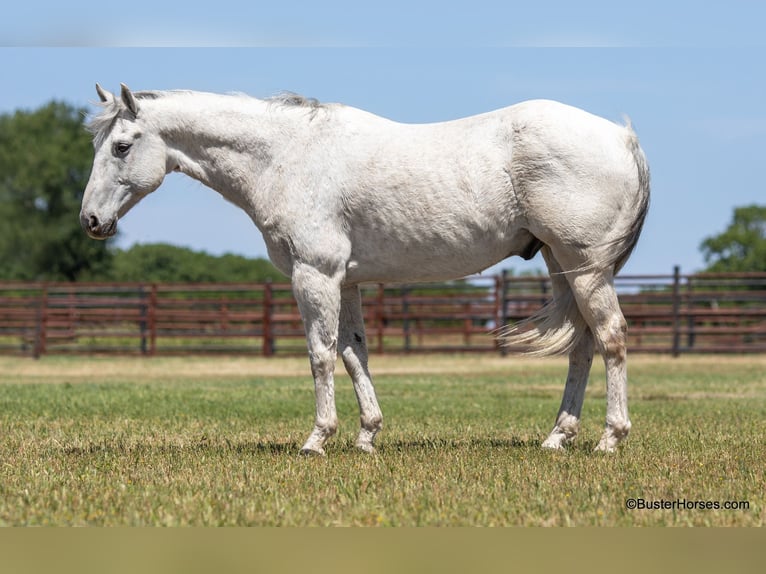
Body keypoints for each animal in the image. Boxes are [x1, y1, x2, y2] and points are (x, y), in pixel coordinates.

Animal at [82, 83, 648, 456]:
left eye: (122, 146)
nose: (90, 220)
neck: (285, 156)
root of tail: (622, 138)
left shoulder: (314, 275)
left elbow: (320, 354)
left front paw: (317, 440)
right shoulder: (346, 281)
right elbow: (354, 355)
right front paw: (367, 436)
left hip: (585, 267)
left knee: (612, 338)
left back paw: (609, 439)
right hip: (563, 266)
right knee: (582, 347)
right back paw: (557, 438)